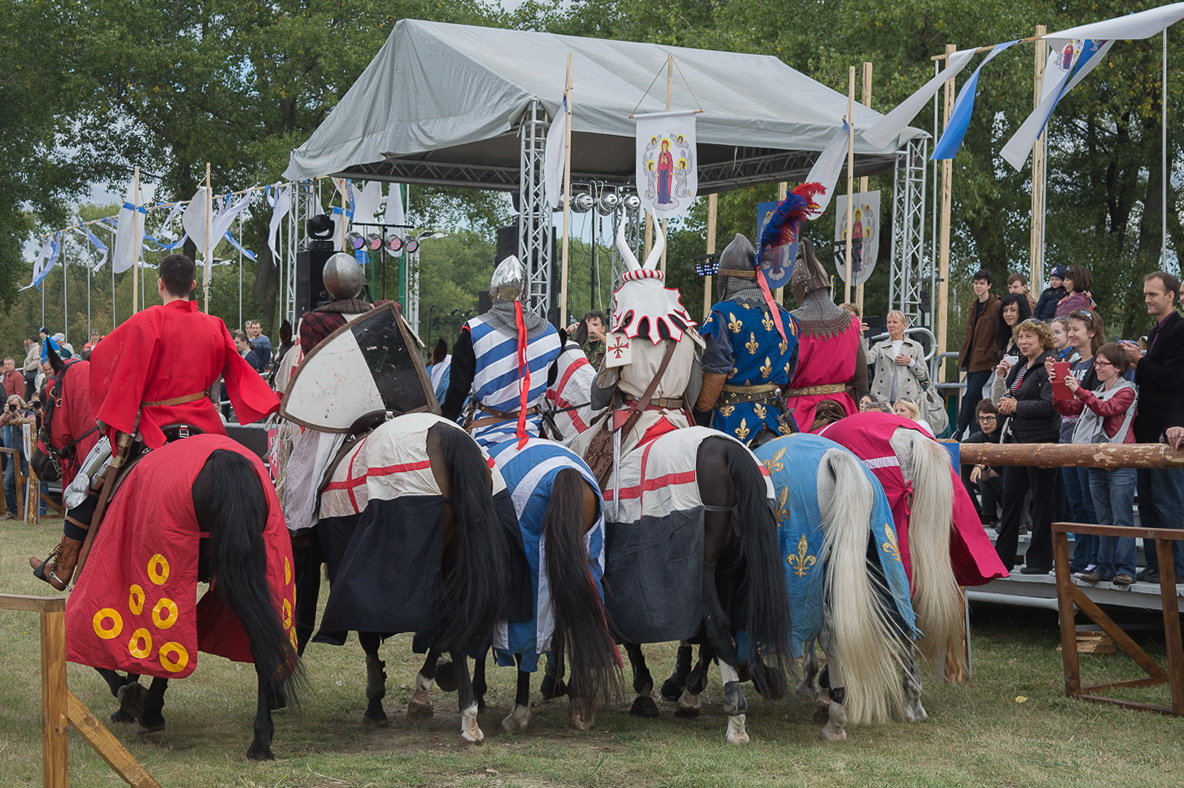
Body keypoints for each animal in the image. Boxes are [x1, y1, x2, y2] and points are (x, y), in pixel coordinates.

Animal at [41, 352, 300, 757]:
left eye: (47, 399)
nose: (40, 463)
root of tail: (225, 462)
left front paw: (129, 698)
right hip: (252, 574)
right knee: (258, 639)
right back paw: (260, 738)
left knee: (165, 639)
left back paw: (148, 710)